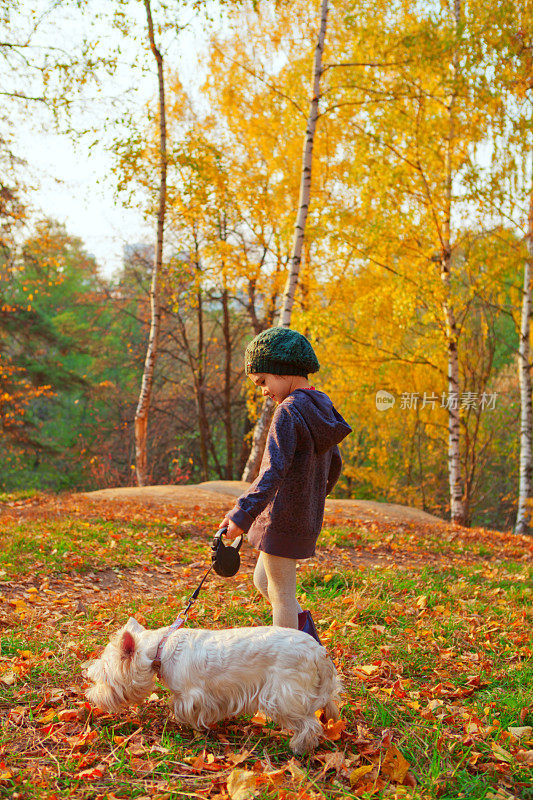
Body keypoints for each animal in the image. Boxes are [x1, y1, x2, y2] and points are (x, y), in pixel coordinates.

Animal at [85, 616, 338, 752]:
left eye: (103, 677)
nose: (91, 697)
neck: (160, 649)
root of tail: (319, 652)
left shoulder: (191, 695)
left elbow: (189, 710)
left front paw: (190, 726)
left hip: (282, 695)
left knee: (309, 723)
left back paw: (299, 746)